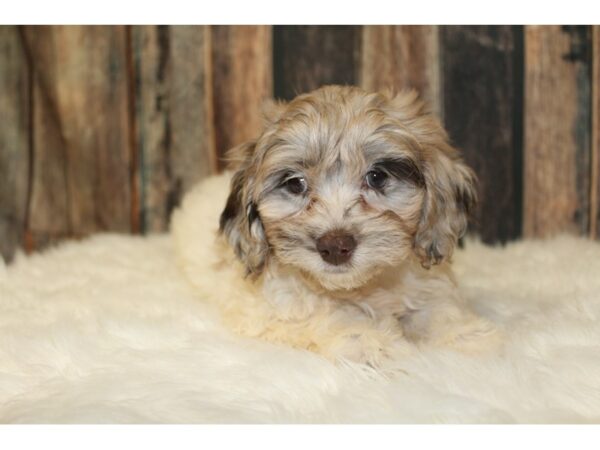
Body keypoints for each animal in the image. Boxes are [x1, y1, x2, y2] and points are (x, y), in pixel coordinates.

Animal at [172, 85, 496, 370]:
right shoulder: (269, 309)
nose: (335, 246)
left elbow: (436, 306)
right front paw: (371, 342)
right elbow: (323, 315)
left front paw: (464, 336)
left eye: (377, 177)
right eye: (295, 184)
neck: (361, 288)